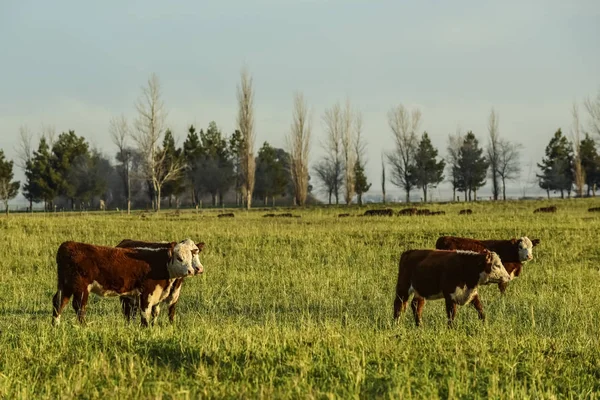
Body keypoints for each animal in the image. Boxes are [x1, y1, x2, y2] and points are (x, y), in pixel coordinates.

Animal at [52, 239, 202, 326]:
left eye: (192, 256)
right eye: (179, 258)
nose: (191, 270)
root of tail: (68, 244)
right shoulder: (146, 293)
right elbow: (145, 313)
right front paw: (146, 329)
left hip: (66, 285)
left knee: (58, 302)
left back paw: (56, 325)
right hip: (81, 288)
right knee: (79, 307)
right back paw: (84, 326)